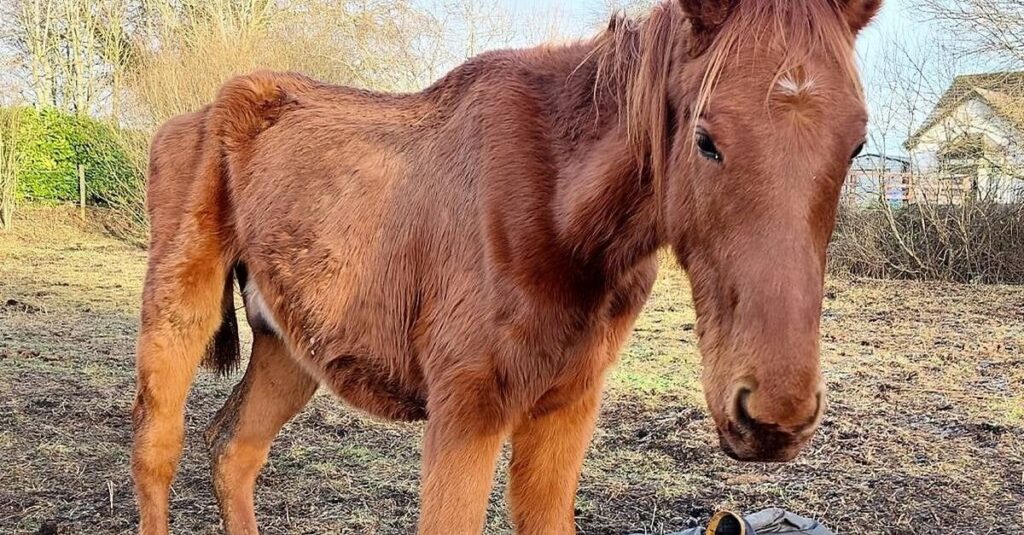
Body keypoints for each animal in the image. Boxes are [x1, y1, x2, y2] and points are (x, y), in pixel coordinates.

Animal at [131, 0, 880, 533]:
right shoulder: (467, 418)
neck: (558, 215)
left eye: (855, 145)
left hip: (290, 345)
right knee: (157, 453)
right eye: (706, 138)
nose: (776, 415)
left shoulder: (564, 414)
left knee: (234, 453)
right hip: (176, 315)